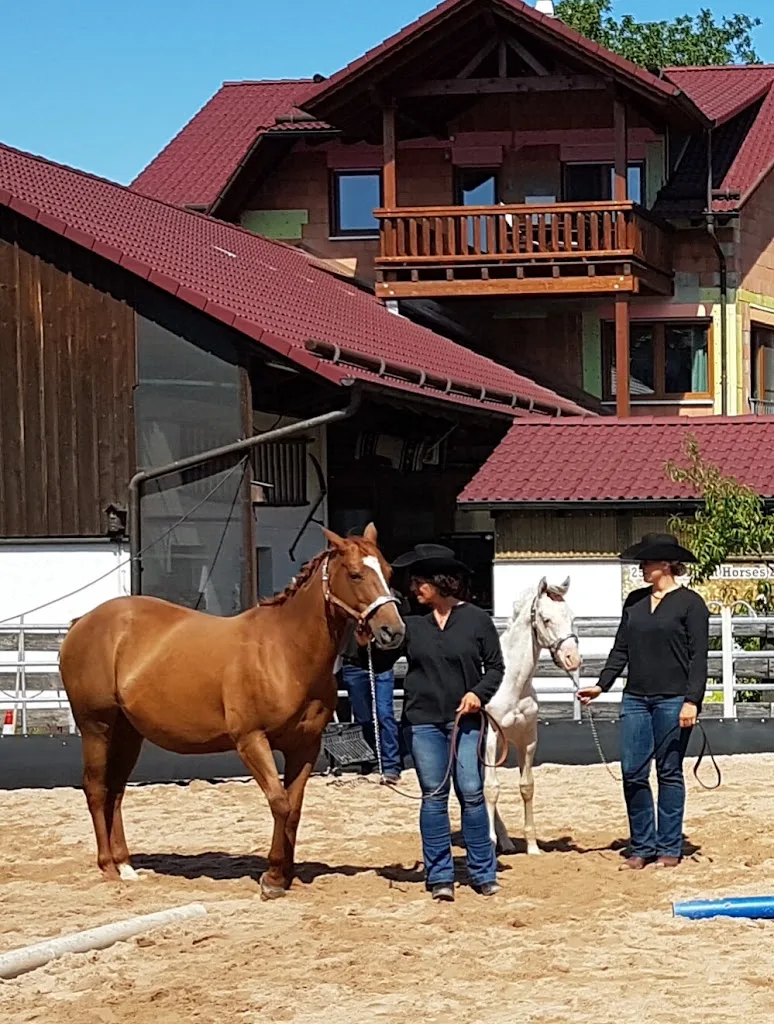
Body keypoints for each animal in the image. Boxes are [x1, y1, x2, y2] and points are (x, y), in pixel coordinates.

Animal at [59, 524, 405, 899]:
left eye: (388, 572)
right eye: (355, 574)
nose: (393, 631)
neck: (285, 652)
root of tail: (82, 623)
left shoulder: (306, 746)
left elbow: (294, 807)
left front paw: (285, 874)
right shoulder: (251, 740)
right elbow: (279, 801)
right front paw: (272, 878)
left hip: (128, 733)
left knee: (117, 790)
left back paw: (125, 865)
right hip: (96, 727)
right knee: (96, 788)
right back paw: (108, 866)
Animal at [483, 576, 581, 855]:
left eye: (571, 617)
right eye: (546, 619)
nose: (573, 659)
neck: (511, 683)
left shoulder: (527, 739)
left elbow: (526, 787)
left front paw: (532, 846)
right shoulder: (490, 738)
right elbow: (491, 789)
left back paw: (505, 842)